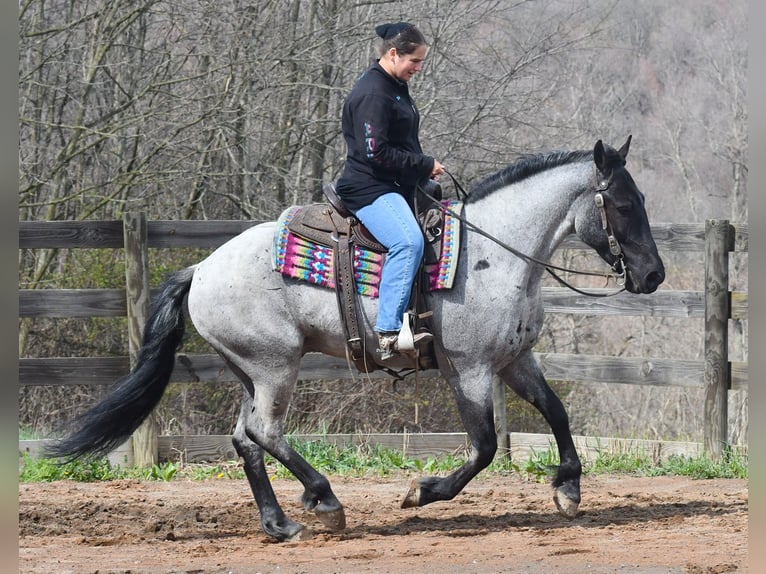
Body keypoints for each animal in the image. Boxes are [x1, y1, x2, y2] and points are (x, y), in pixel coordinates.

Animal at [46, 136, 665, 542]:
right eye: (624, 204)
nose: (654, 274)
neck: (494, 252)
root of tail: (200, 269)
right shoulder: (468, 369)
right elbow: (485, 446)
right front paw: (421, 491)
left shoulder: (515, 360)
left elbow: (555, 411)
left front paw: (569, 489)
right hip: (275, 366)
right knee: (265, 432)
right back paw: (324, 500)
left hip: (249, 370)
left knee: (246, 439)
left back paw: (280, 523)